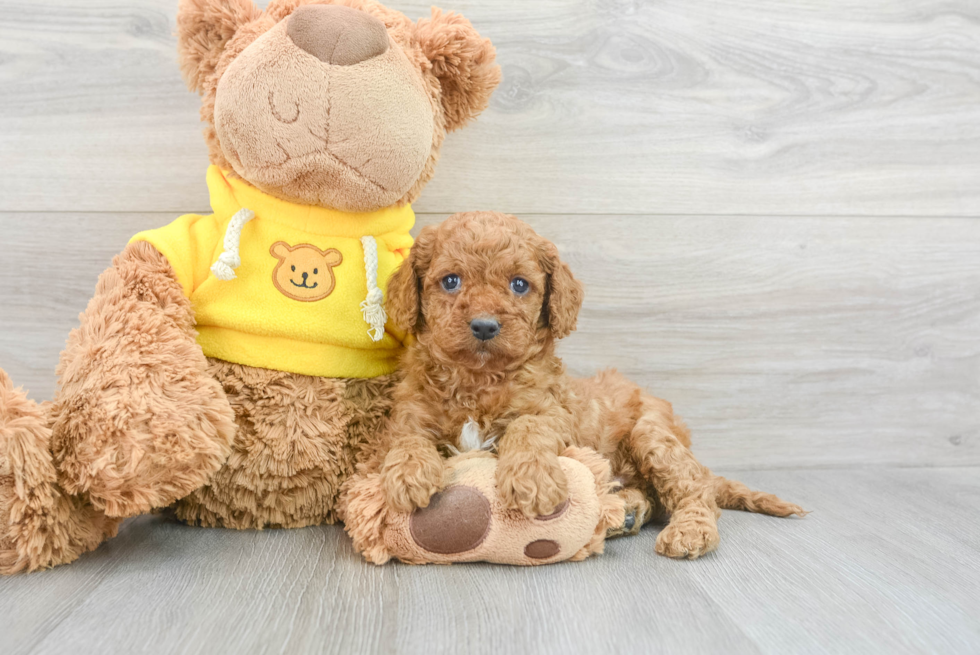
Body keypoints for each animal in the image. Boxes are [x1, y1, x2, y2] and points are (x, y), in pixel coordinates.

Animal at [376, 211, 804, 560]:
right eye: (450, 281)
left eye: (519, 285)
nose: (484, 325)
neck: (479, 378)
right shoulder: (408, 414)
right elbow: (406, 439)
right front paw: (409, 475)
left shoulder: (556, 413)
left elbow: (528, 425)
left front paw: (532, 479)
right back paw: (626, 511)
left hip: (652, 435)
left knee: (696, 492)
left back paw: (689, 532)